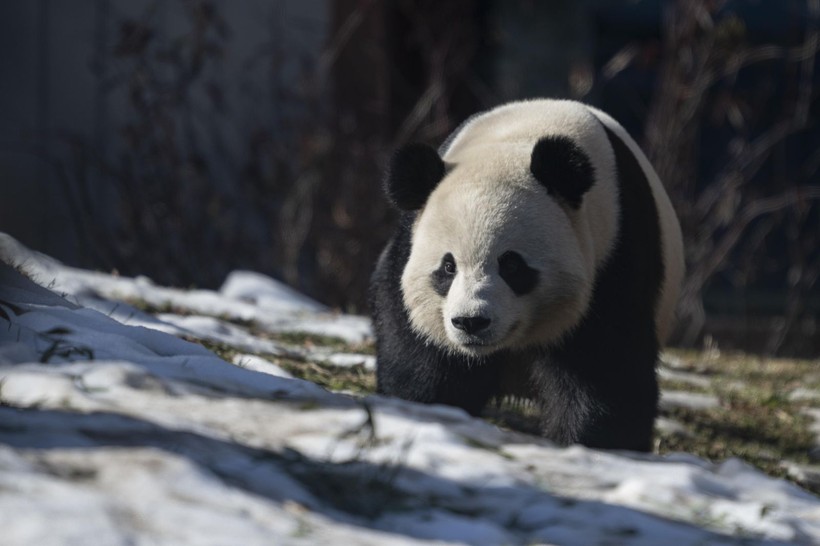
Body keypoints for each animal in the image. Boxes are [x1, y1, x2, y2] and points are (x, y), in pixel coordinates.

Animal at [368, 99, 684, 450]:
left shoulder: (615, 254)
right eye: (448, 266)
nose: (471, 322)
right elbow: (421, 363)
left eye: (511, 265)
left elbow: (608, 371)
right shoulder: (410, 247)